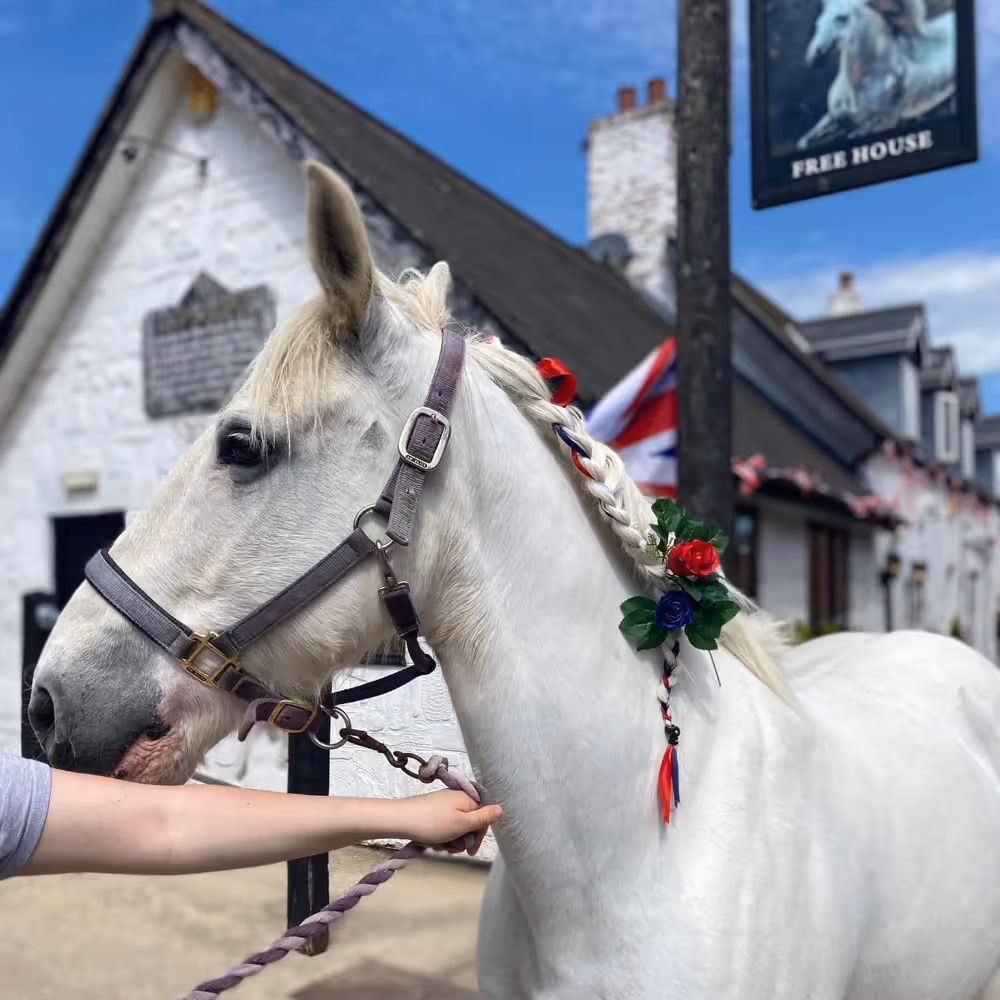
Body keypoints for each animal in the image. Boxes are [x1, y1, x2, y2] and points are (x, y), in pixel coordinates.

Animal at [798, 0, 956, 150]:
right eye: (818, 23)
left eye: (842, 18)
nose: (815, 56)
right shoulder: (835, 118)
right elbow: (804, 142)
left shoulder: (882, 122)